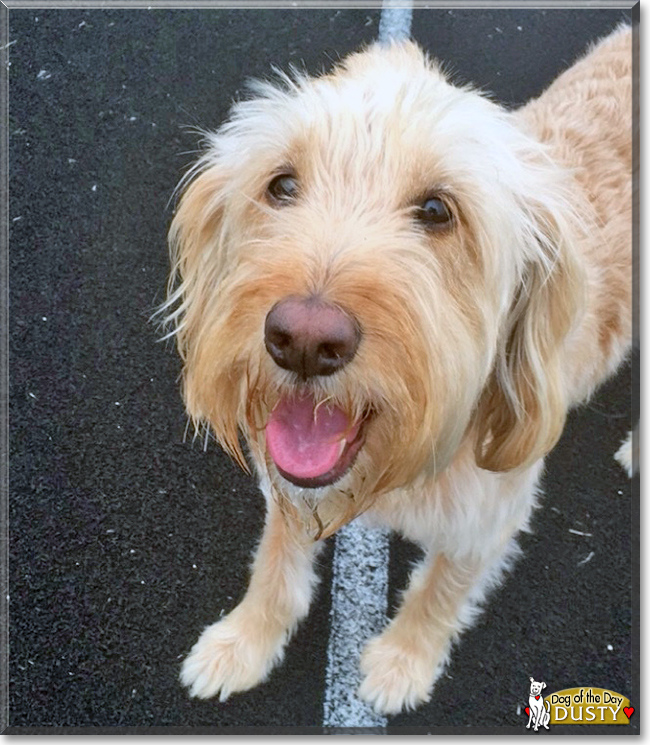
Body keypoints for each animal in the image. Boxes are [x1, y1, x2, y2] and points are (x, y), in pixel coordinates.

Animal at [162, 26, 632, 716]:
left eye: (437, 210)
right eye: (281, 185)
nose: (303, 340)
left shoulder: (488, 518)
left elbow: (441, 591)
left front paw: (402, 665)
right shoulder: (292, 483)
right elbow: (275, 561)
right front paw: (244, 641)